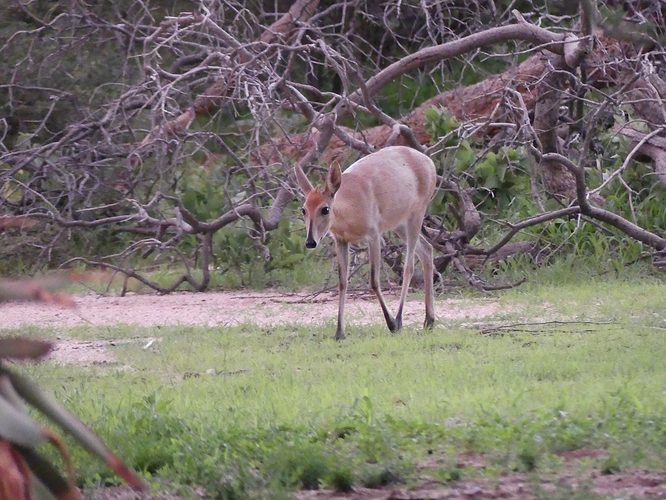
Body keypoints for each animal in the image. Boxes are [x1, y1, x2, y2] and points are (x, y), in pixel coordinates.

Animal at [296, 145, 436, 340]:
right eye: (304, 209)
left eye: (325, 209)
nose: (310, 242)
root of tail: (428, 161)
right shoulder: (341, 241)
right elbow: (342, 282)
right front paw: (339, 333)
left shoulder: (374, 236)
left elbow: (374, 280)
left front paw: (391, 324)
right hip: (399, 224)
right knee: (427, 250)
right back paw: (429, 321)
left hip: (416, 215)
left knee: (409, 266)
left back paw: (400, 320)